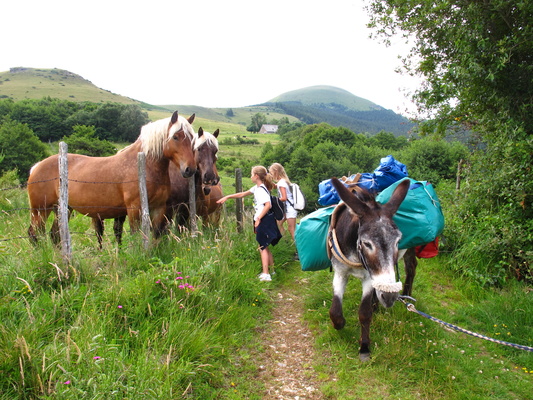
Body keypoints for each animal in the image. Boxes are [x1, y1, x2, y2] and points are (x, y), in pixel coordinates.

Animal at [26, 111, 195, 245]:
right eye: (176, 137)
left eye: (192, 138)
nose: (190, 169)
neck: (143, 165)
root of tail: (37, 166)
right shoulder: (134, 209)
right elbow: (136, 235)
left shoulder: (159, 208)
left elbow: (156, 235)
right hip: (40, 211)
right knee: (34, 233)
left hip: (62, 209)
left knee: (54, 235)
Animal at [324, 177, 416, 360]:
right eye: (367, 243)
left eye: (398, 241)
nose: (390, 297)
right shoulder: (340, 272)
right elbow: (335, 312)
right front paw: (340, 324)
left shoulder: (368, 277)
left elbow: (364, 313)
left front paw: (364, 347)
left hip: (411, 250)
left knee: (411, 268)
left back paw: (406, 296)